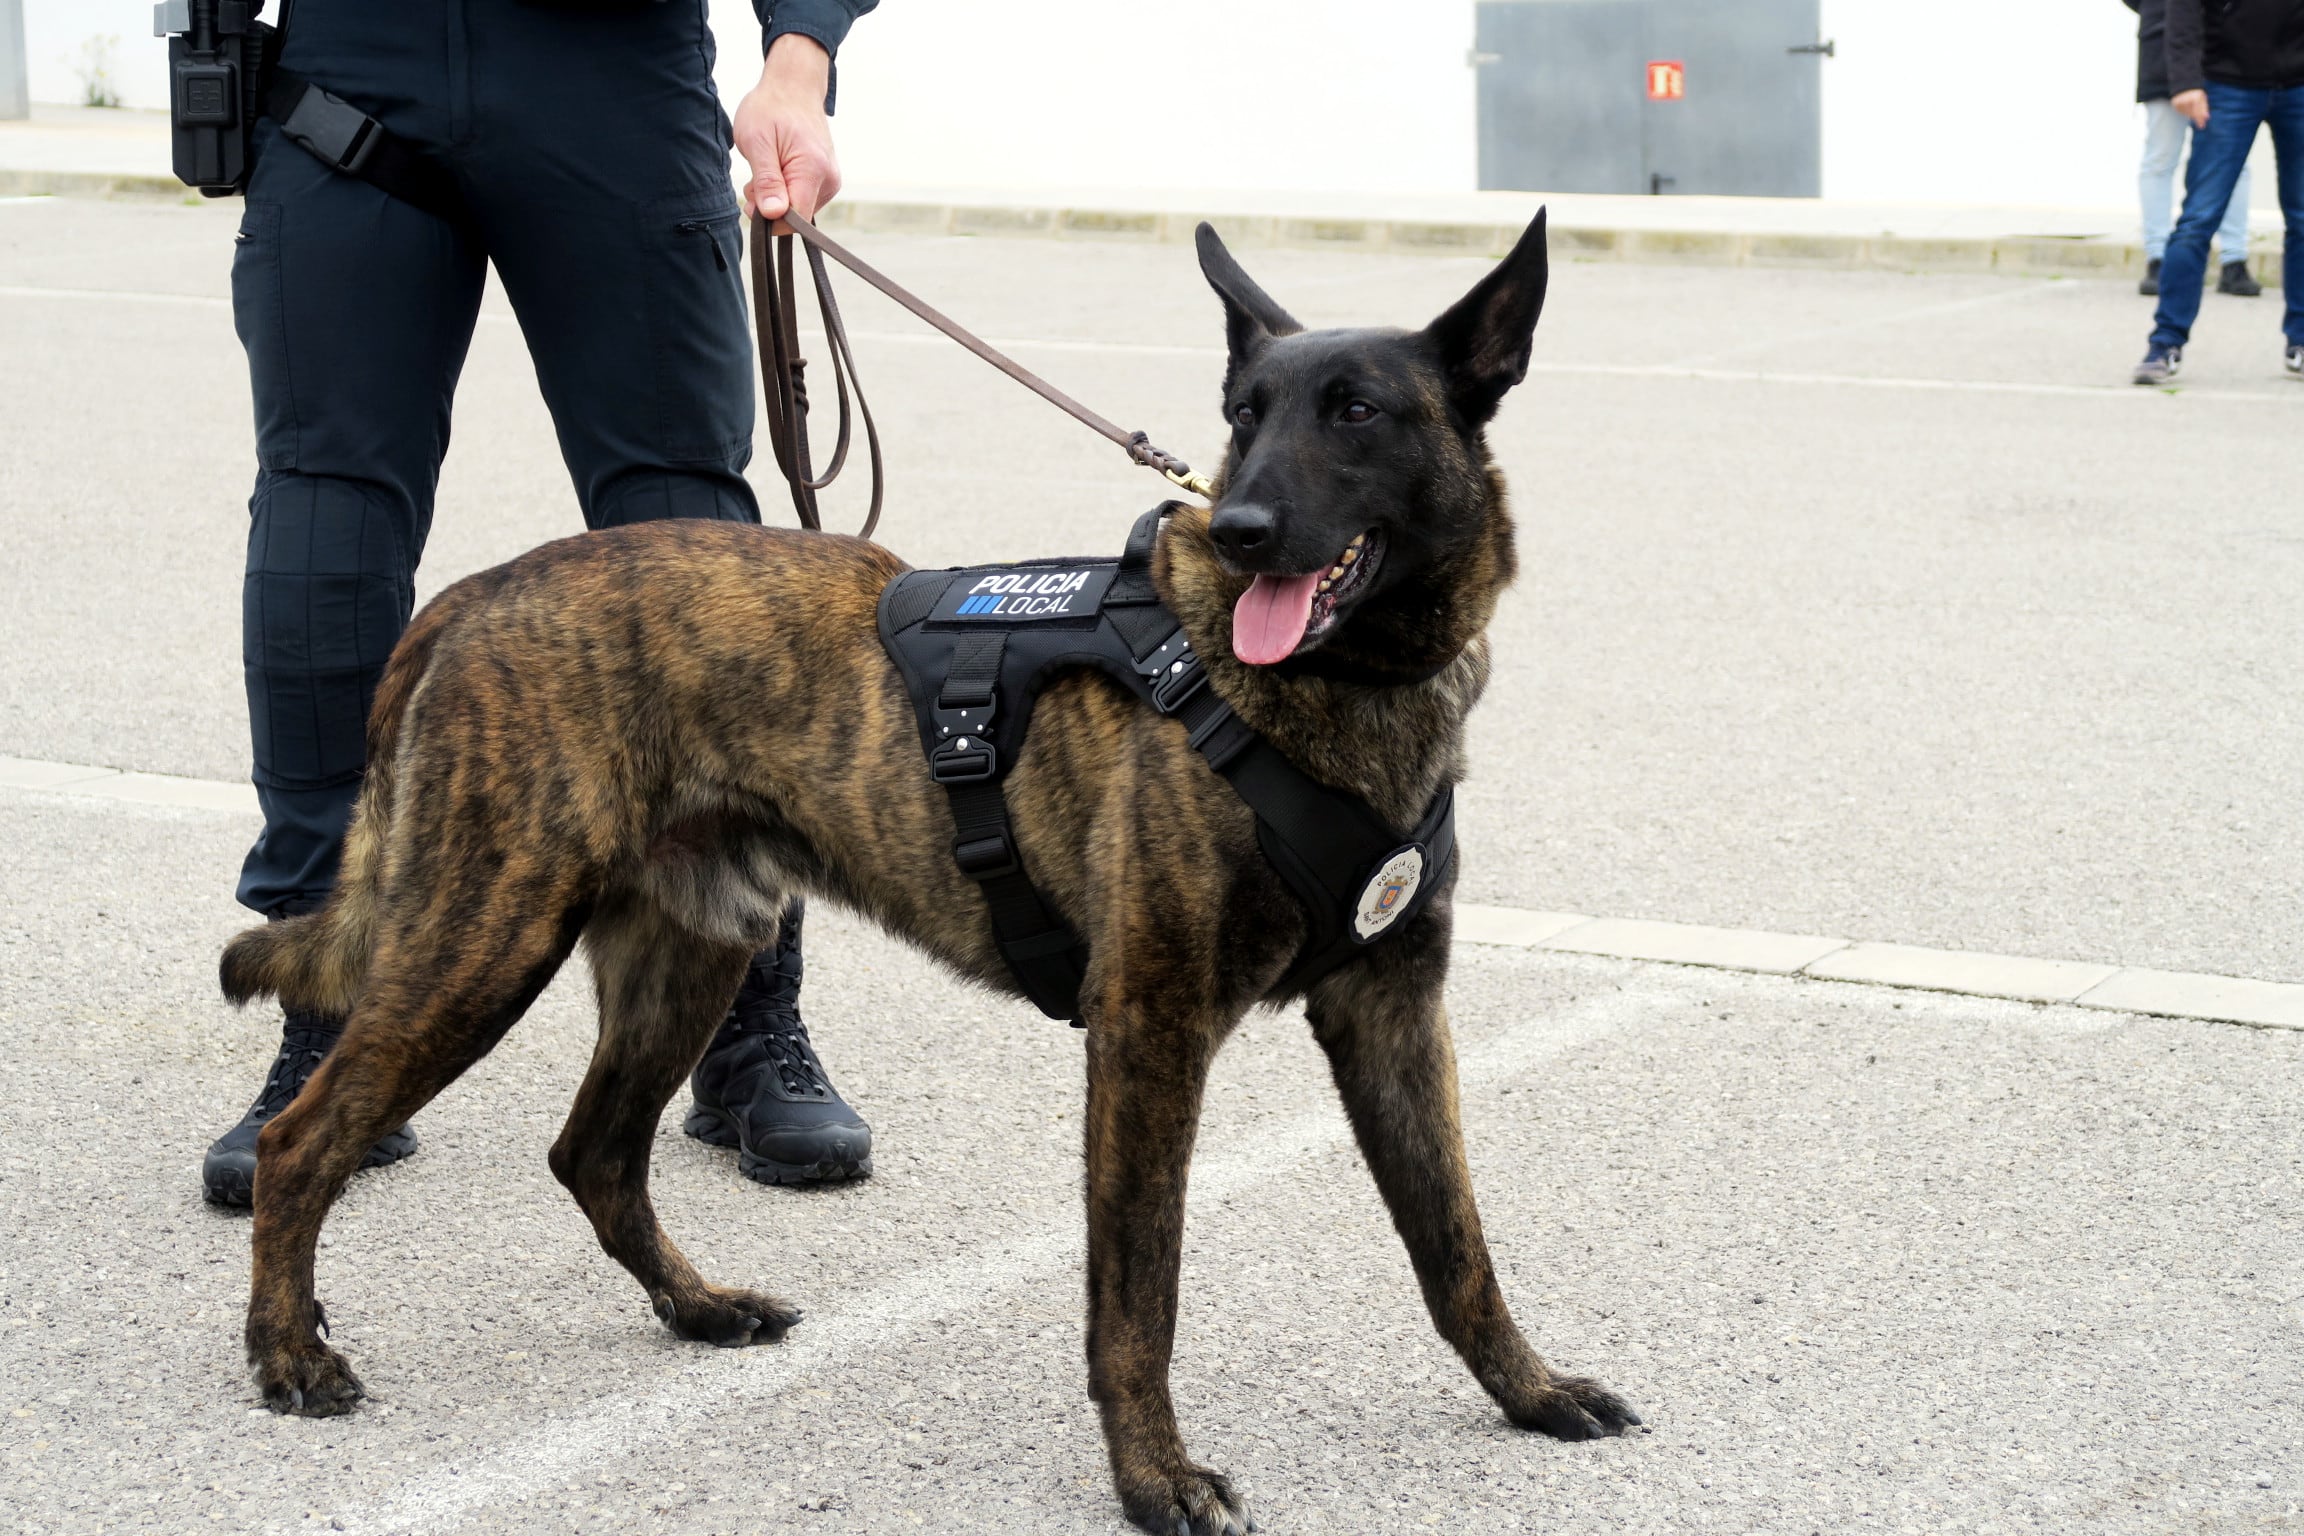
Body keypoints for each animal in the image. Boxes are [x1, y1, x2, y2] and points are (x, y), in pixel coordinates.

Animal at [220, 213, 1640, 1536]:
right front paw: (1154, 1477)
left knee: (595, 1157)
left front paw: (1529, 1392)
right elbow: (1141, 1292)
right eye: (1246, 416)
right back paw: (289, 1351)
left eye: (1356, 413)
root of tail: (472, 596)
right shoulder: (1150, 1031)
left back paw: (698, 1306)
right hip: (484, 942)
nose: (1239, 531)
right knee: (307, 1144)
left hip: (692, 955)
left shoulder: (1392, 1015)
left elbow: (1456, 1243)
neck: (1321, 689)